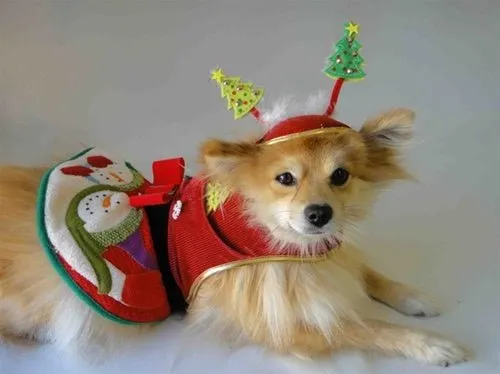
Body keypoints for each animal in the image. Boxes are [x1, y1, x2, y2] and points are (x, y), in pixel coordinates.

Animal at [0, 98, 468, 366]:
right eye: (285, 179)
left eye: (340, 176)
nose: (320, 214)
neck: (278, 240)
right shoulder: (281, 322)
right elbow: (367, 327)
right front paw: (432, 345)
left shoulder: (330, 255)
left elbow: (370, 274)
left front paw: (414, 298)